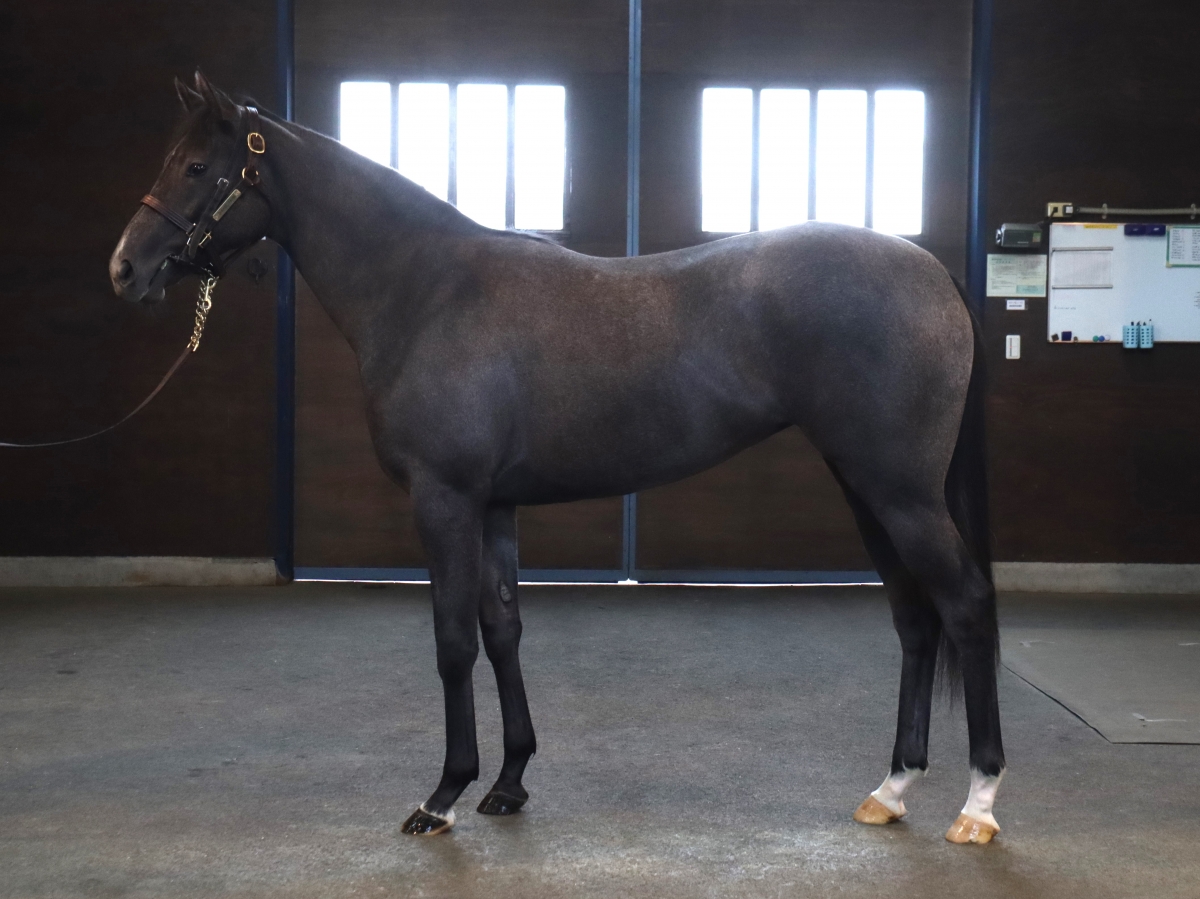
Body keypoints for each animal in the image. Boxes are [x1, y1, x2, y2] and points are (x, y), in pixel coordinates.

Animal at [110, 71, 1005, 845]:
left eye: (197, 166)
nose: (125, 268)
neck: (426, 288)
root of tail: (933, 272)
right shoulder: (495, 505)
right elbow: (504, 627)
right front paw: (509, 782)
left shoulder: (445, 499)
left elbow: (453, 639)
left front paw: (443, 794)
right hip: (866, 489)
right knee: (915, 618)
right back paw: (892, 788)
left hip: (902, 493)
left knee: (964, 606)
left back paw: (979, 804)